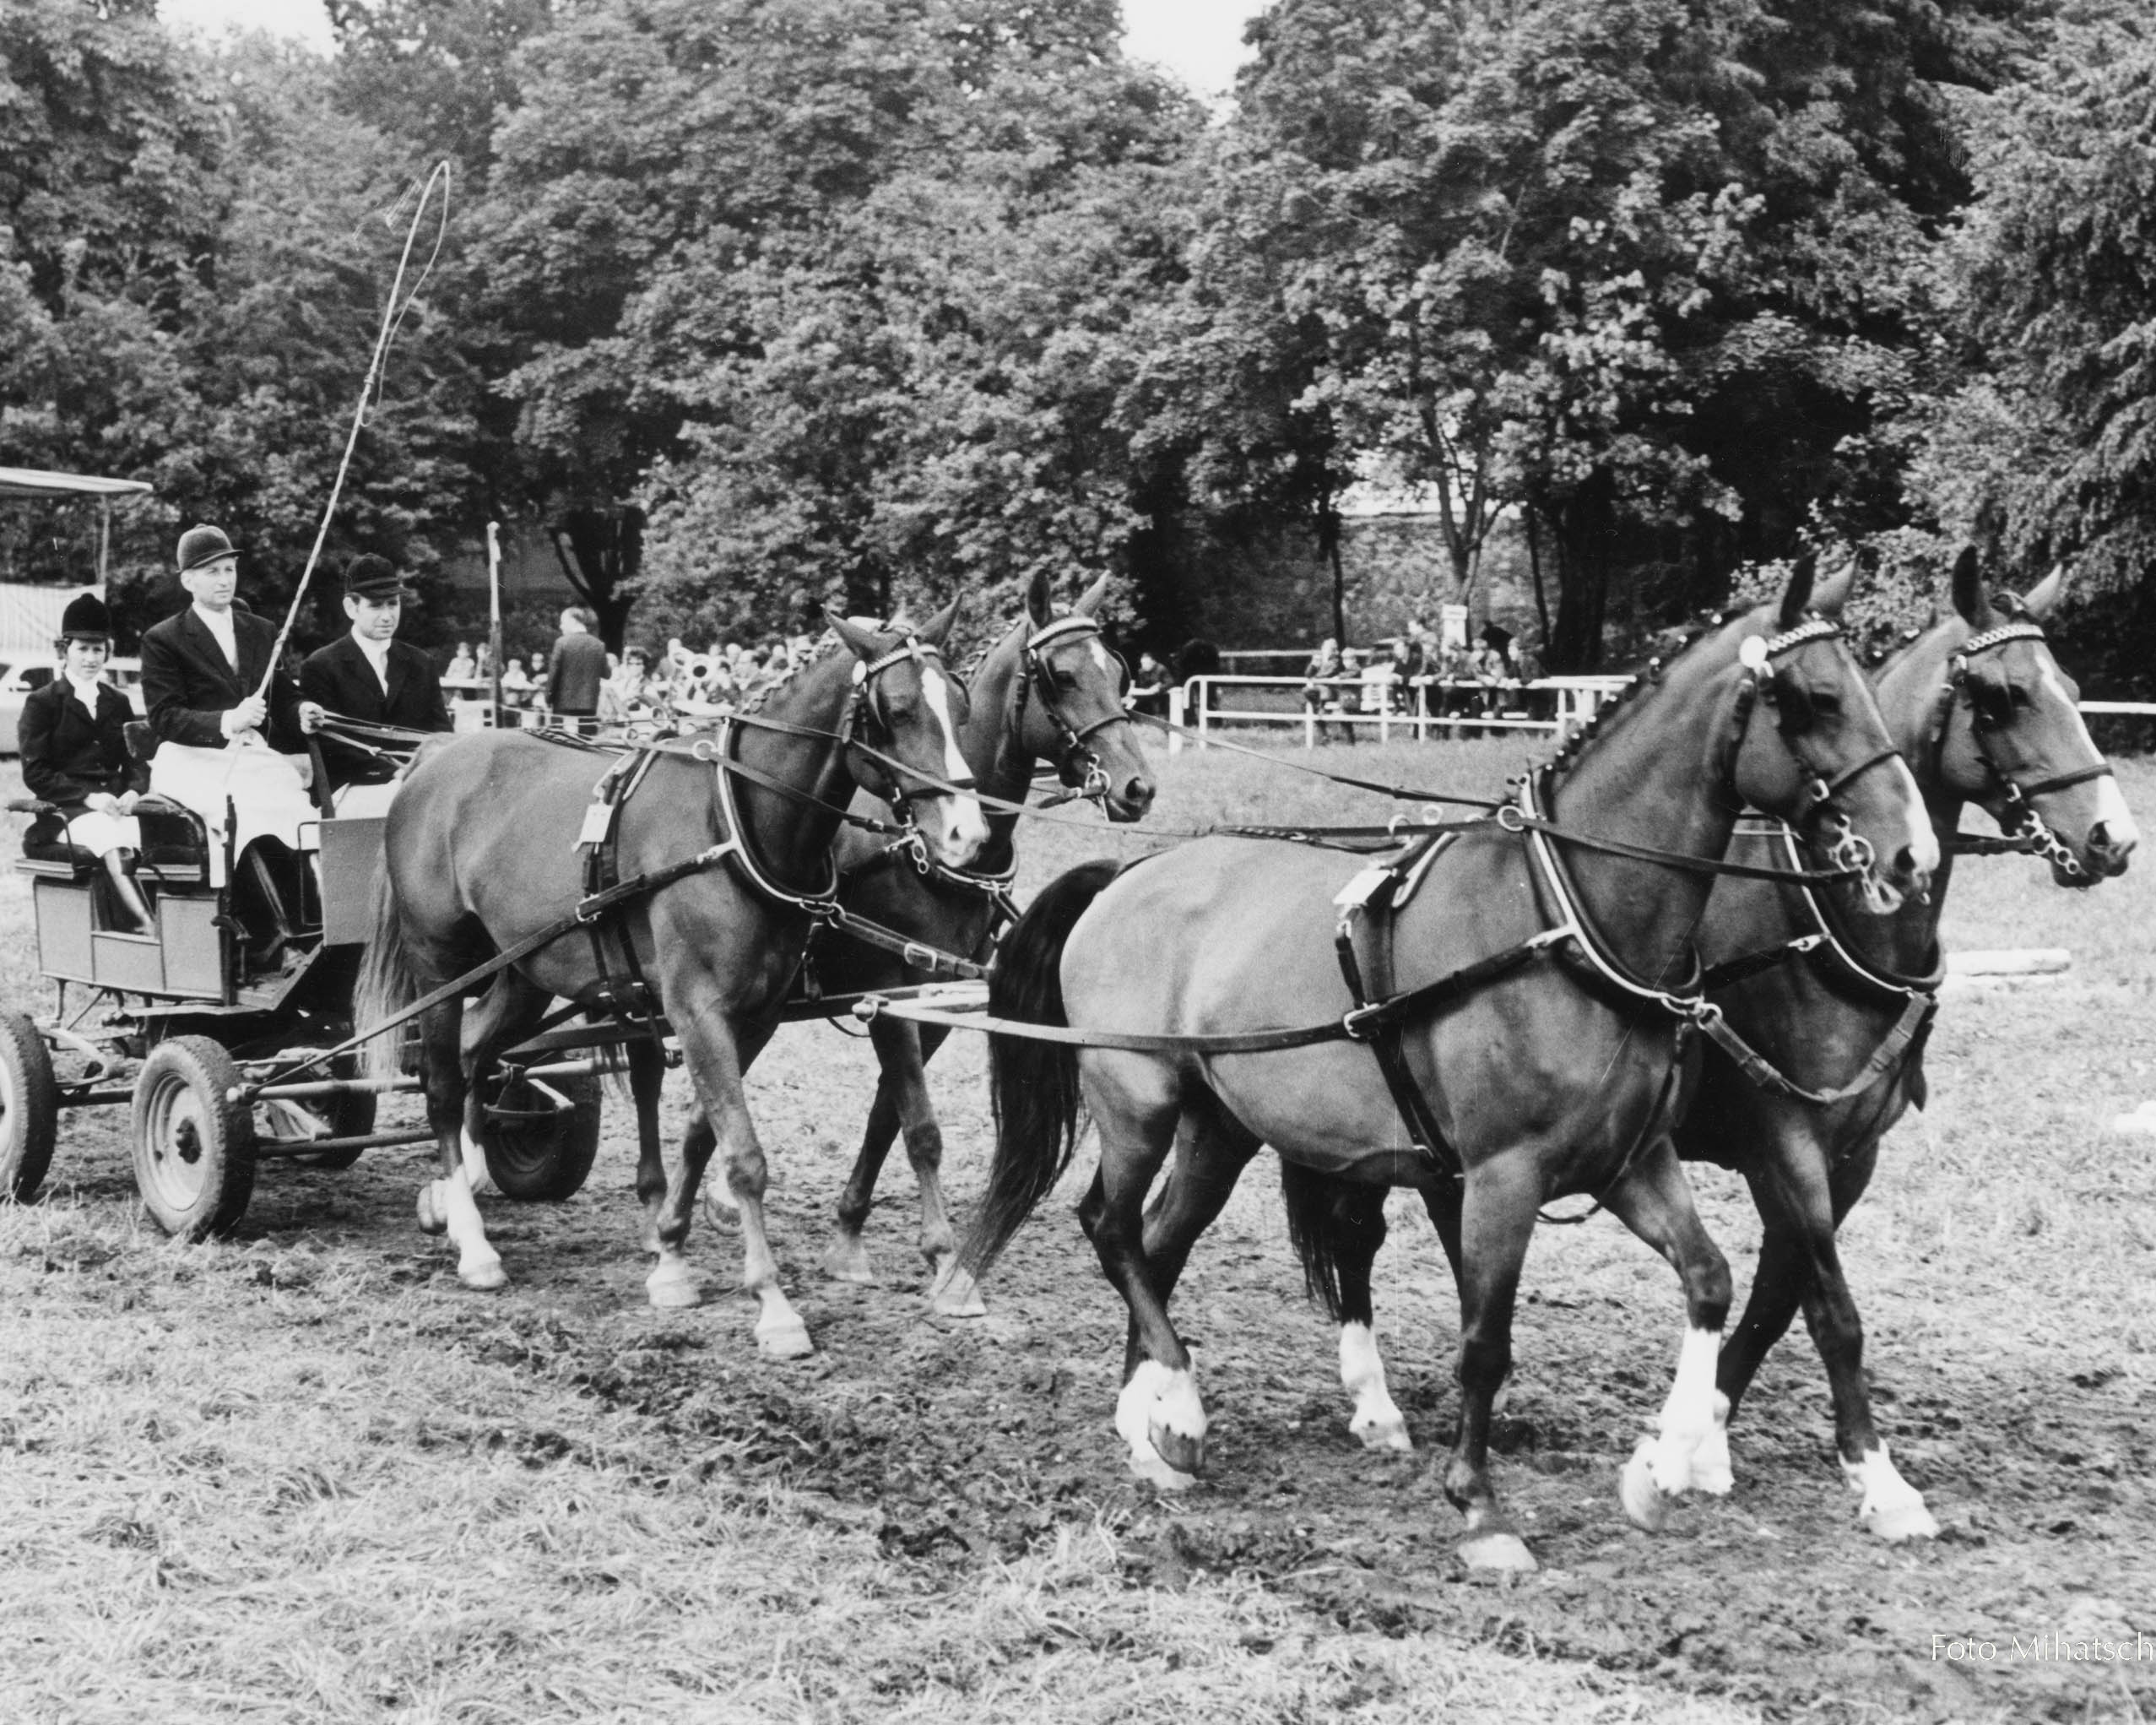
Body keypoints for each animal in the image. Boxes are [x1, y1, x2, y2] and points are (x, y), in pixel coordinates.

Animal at [357, 599, 987, 1353]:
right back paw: (475, 1245)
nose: (968, 834)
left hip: (521, 968)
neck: (735, 822)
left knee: (476, 1050)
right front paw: (773, 1304)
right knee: (444, 1082)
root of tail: (435, 753)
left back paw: (459, 1204)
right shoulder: (697, 1007)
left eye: (962, 702)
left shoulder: (757, 1012)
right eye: (896, 709)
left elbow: (704, 1130)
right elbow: (743, 1154)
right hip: (439, 962)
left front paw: (672, 1254)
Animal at [810, 565, 1155, 1310]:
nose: (1138, 787)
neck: (924, 847)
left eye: (1118, 671)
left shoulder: (933, 1002)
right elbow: (920, 1125)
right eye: (1060, 674)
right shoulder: (888, 993)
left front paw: (848, 1233)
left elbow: (888, 1113)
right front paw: (943, 1258)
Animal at [962, 560, 1940, 1570]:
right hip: (1138, 1103)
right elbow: (1485, 1336)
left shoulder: (1631, 1160)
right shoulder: (1505, 1175)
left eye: (1873, 691)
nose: (1913, 851)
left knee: (1156, 1245)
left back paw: (1151, 1425)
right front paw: (1481, 1507)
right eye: (1815, 700)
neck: (1566, 920)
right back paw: (1181, 1407)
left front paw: (1663, 1467)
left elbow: (1711, 1279)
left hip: (1218, 1128)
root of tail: (1125, 875)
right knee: (1109, 1228)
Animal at [1267, 556, 2130, 1552]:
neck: (1820, 920)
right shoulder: (1782, 1140)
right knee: (1357, 1235)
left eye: (2072, 690)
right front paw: (1876, 1480)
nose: (2112, 837)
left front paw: (1695, 1442)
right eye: (1999, 697)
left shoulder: (1849, 1155)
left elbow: (1776, 1296)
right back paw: (1376, 1406)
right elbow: (1829, 1308)